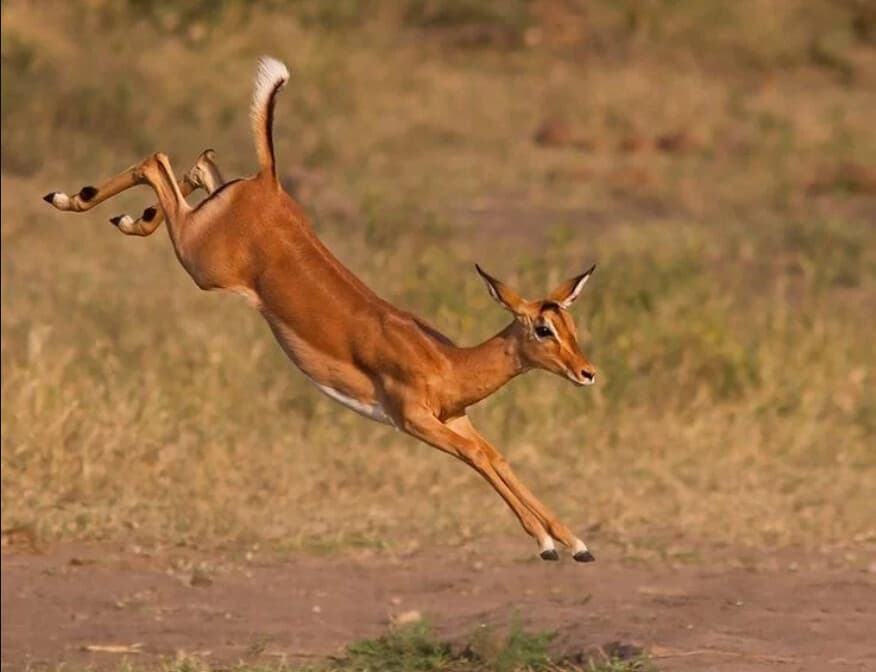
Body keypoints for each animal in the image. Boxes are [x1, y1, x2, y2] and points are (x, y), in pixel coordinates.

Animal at [43, 57, 599, 562]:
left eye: (571, 323)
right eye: (544, 328)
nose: (587, 372)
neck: (448, 363)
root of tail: (269, 185)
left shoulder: (455, 418)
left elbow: (499, 456)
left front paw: (576, 543)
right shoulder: (415, 420)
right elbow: (481, 456)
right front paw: (548, 544)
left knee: (196, 167)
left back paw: (122, 211)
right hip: (200, 263)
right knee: (155, 161)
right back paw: (70, 198)